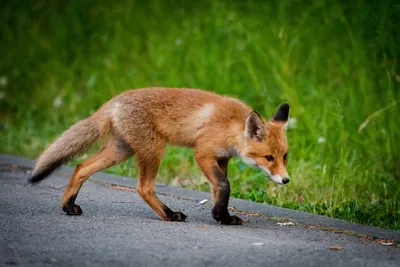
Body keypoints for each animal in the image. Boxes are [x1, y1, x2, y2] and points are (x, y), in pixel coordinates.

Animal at [28, 88, 290, 226]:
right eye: (269, 157)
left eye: (285, 156)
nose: (286, 180)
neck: (232, 126)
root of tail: (116, 99)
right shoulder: (203, 153)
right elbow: (224, 185)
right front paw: (220, 216)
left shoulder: (221, 158)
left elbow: (219, 189)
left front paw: (221, 216)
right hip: (153, 149)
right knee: (143, 187)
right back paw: (169, 214)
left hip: (121, 151)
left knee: (81, 167)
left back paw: (68, 206)